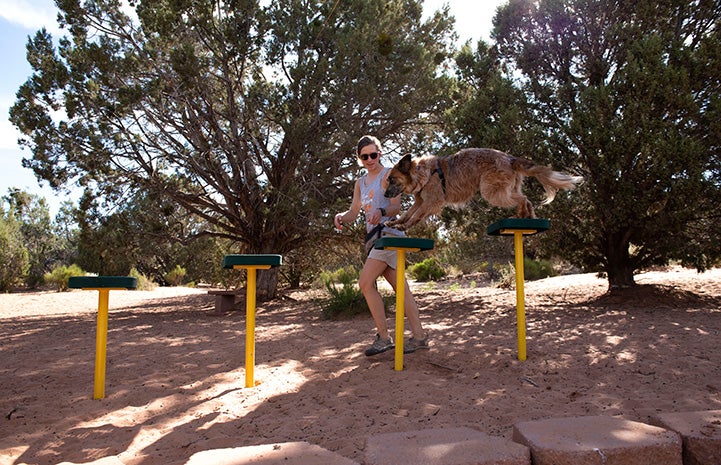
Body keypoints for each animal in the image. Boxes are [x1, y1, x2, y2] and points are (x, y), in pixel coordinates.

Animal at [386, 148, 584, 229]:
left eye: (392, 180)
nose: (386, 194)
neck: (422, 173)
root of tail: (510, 159)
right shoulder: (421, 202)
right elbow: (407, 214)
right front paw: (396, 223)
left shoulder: (431, 202)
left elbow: (415, 217)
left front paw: (405, 227)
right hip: (506, 189)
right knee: (526, 199)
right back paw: (527, 217)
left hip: (491, 192)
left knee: (523, 199)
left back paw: (521, 215)